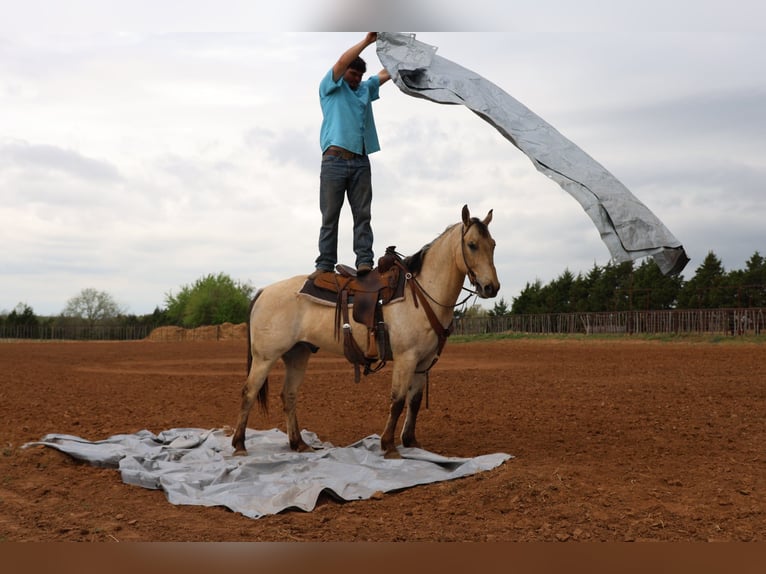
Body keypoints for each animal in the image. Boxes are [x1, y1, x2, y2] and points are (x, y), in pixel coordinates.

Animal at [231, 205, 500, 458]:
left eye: (493, 245)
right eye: (472, 245)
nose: (492, 287)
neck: (422, 292)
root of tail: (264, 291)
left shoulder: (423, 362)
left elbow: (413, 401)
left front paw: (411, 442)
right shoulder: (406, 358)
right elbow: (397, 400)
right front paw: (389, 446)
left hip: (297, 354)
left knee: (288, 395)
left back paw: (299, 444)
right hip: (265, 357)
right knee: (248, 393)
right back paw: (239, 445)